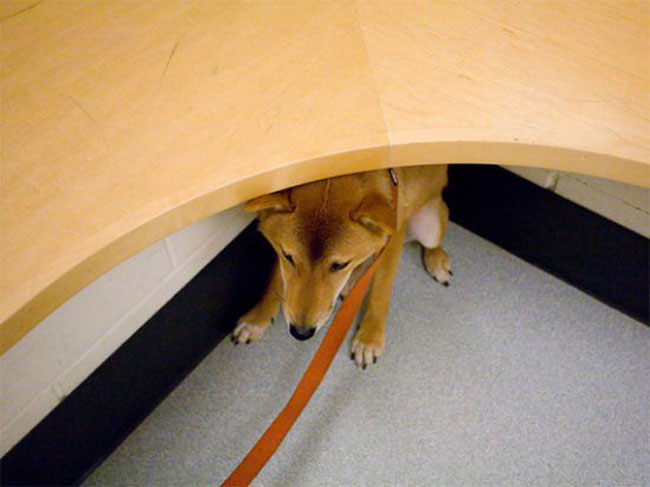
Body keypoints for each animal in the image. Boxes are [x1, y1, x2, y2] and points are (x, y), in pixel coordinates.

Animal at [230, 166, 448, 368]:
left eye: (340, 265)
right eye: (288, 256)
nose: (301, 333)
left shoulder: (394, 236)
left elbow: (381, 291)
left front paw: (369, 338)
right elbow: (276, 279)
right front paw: (258, 319)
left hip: (430, 228)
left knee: (436, 234)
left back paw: (437, 260)